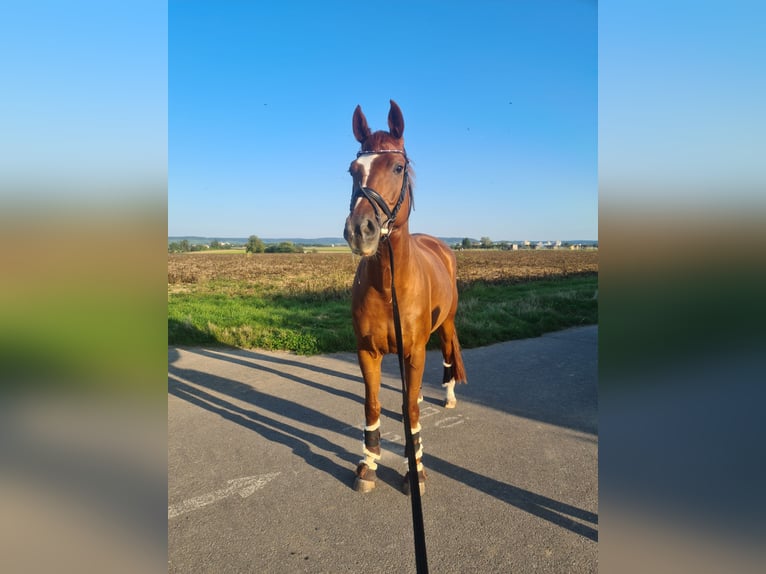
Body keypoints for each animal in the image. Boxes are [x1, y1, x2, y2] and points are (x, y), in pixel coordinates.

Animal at [346, 101, 468, 498]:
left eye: (397, 168)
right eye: (353, 171)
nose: (360, 230)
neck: (389, 286)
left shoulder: (413, 350)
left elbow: (410, 413)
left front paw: (416, 469)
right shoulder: (367, 351)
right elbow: (372, 405)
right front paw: (368, 464)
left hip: (445, 324)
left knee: (447, 354)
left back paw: (447, 395)